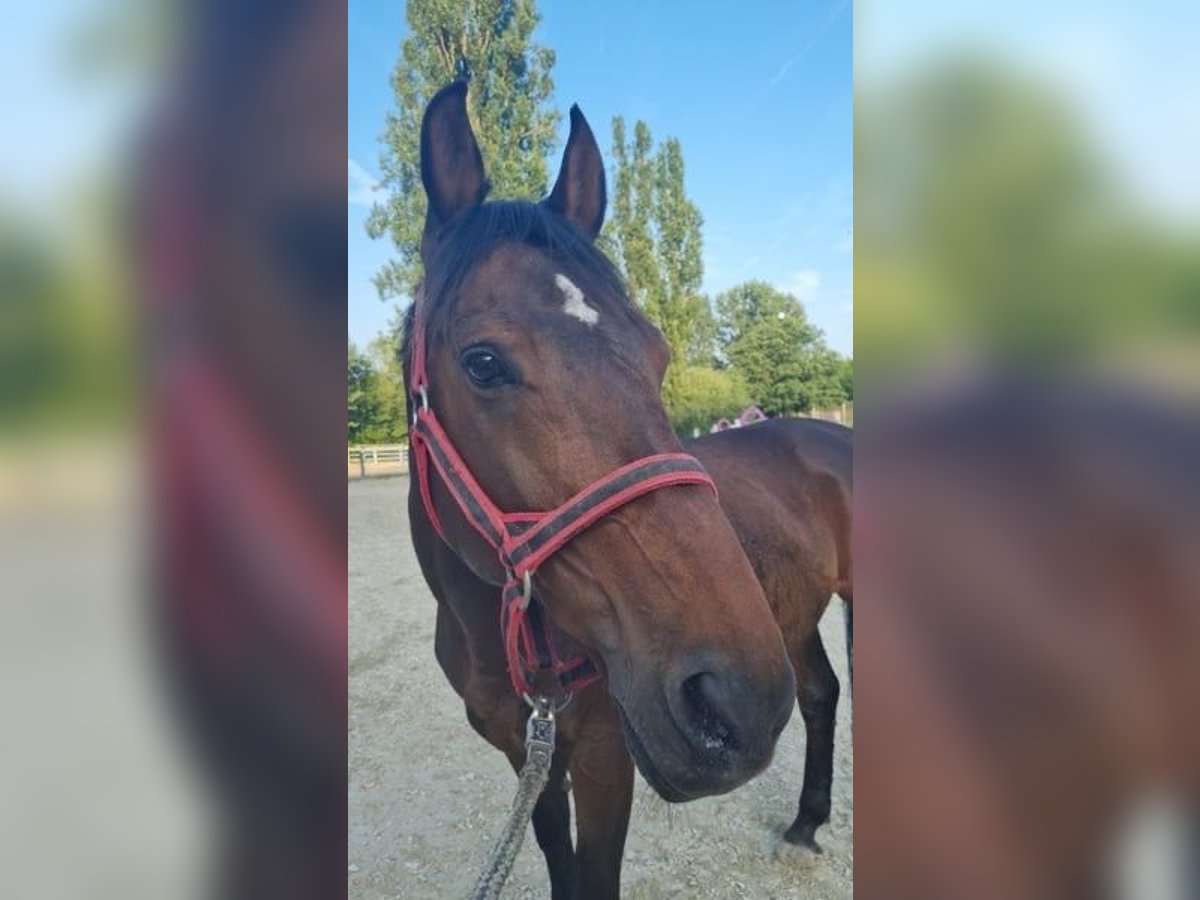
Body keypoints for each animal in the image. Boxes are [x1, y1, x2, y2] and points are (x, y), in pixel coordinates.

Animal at [403, 81, 852, 899]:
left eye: (659, 353)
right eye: (483, 362)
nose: (733, 701)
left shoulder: (605, 761)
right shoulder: (527, 752)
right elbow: (557, 856)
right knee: (819, 693)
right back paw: (805, 825)